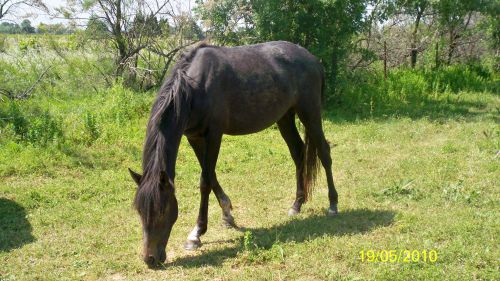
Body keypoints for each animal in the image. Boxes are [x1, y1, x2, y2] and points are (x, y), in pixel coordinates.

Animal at [128, 40, 340, 266]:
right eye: (139, 210)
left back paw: (333, 204)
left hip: (310, 113)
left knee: (324, 152)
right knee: (298, 152)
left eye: (162, 210)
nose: (150, 259)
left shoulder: (214, 134)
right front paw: (227, 214)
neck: (194, 88)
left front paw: (196, 233)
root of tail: (313, 59)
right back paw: (297, 205)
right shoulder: (194, 137)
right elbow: (211, 176)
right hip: (285, 117)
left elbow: (204, 181)